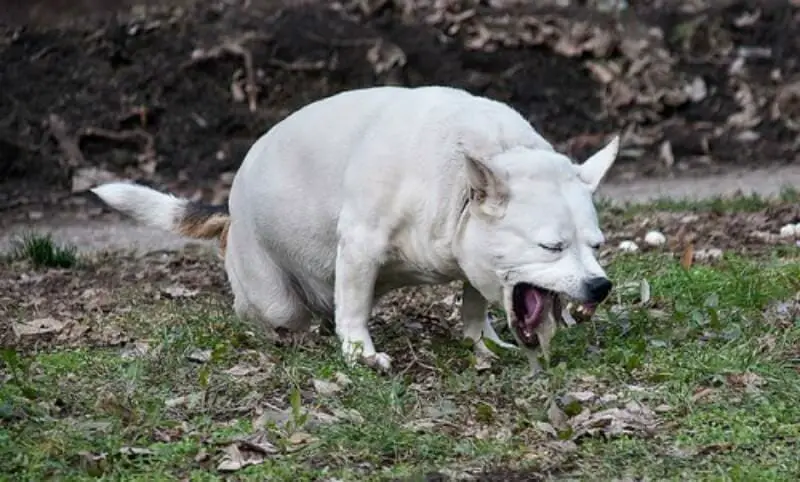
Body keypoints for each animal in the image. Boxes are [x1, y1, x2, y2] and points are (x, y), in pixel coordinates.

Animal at [94, 85, 620, 372]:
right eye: (551, 246)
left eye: (596, 246)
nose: (600, 286)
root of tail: (231, 215)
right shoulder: (361, 246)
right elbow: (354, 311)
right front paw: (360, 355)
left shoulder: (475, 256)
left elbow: (474, 303)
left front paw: (481, 339)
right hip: (273, 295)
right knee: (272, 312)